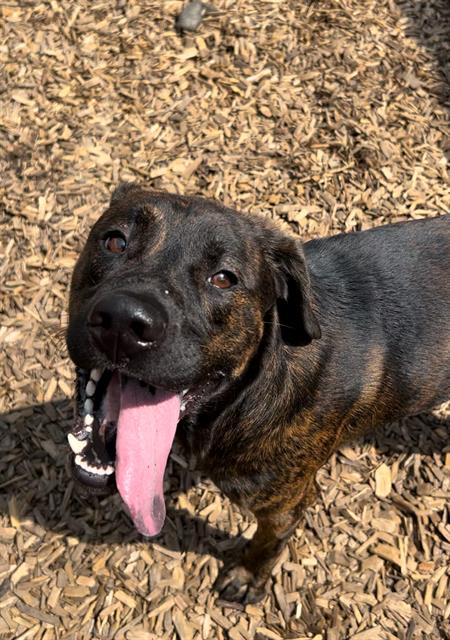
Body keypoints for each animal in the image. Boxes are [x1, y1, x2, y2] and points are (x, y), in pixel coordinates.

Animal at [66, 182, 450, 604]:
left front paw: (248, 577)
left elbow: (267, 544)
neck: (241, 398)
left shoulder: (283, 507)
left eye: (223, 279)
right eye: (115, 241)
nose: (124, 321)